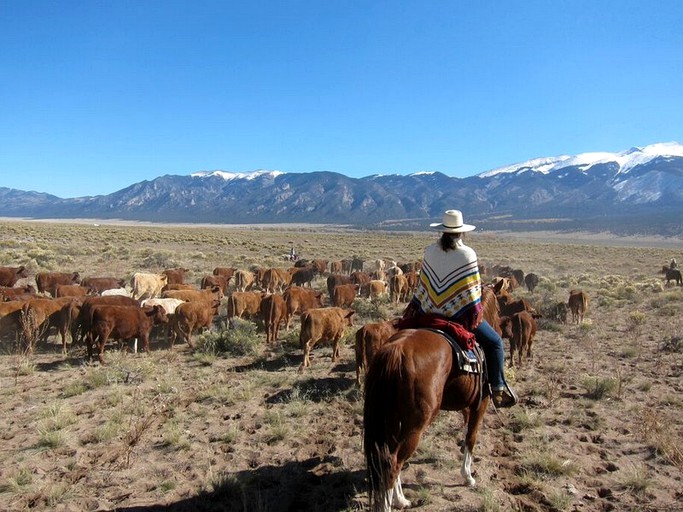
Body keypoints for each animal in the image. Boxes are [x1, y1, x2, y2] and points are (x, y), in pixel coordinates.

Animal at [360, 286, 500, 510]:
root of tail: (396, 350)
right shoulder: (481, 403)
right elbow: (471, 437)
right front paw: (468, 476)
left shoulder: (467, 405)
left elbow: (465, 432)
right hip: (416, 424)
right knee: (394, 462)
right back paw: (393, 503)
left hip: (392, 420)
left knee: (388, 458)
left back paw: (401, 499)